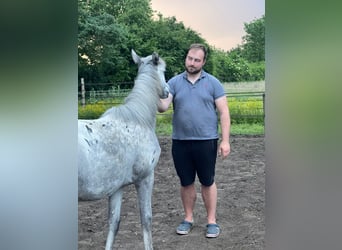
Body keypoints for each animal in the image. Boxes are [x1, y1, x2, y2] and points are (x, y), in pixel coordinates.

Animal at [77, 49, 168, 250]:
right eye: (164, 71)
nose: (167, 91)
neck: (138, 120)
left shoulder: (116, 187)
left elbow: (114, 223)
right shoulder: (145, 179)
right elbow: (146, 219)